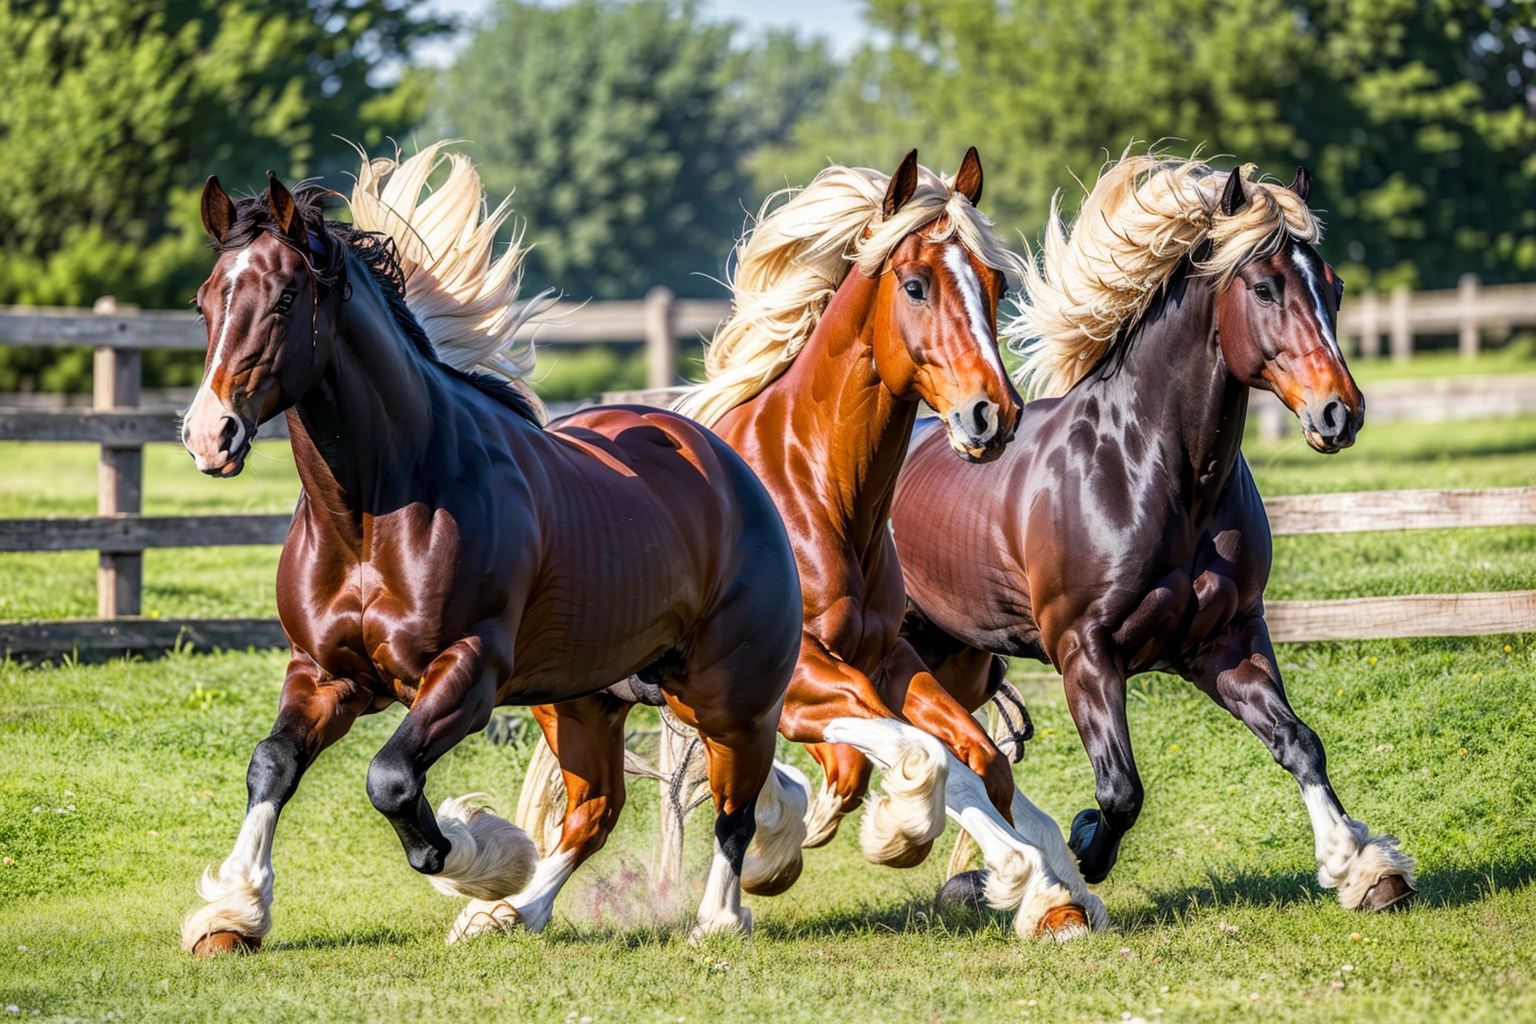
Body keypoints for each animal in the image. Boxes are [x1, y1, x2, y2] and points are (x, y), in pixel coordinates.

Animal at [177, 143, 803, 955]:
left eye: (284, 299)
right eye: (204, 302)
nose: (208, 435)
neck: (376, 514)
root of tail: (731, 469)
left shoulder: (468, 671)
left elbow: (391, 779)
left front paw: (481, 855)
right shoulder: (324, 673)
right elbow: (273, 763)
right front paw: (234, 912)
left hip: (731, 697)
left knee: (736, 807)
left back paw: (715, 920)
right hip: (587, 701)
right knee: (598, 809)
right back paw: (514, 913)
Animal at [518, 149, 1107, 939]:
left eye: (997, 284)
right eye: (915, 285)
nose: (993, 415)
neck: (815, 494)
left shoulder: (887, 661)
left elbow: (976, 757)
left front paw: (1047, 895)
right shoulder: (799, 674)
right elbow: (897, 763)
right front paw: (884, 834)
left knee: (605, 809)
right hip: (576, 702)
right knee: (593, 811)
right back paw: (508, 907)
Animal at [890, 155, 1416, 913]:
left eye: (1335, 287)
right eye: (1263, 286)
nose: (1339, 413)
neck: (1151, 473)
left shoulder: (1222, 641)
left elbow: (1298, 742)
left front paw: (1362, 867)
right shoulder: (1084, 651)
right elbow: (1120, 792)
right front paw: (1080, 851)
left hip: (954, 653)